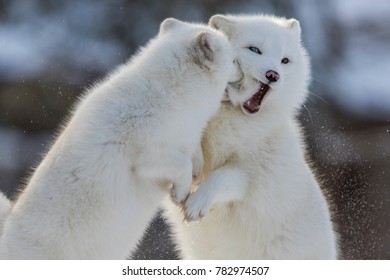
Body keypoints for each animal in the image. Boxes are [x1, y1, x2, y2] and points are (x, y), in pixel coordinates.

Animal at [0, 17, 236, 260]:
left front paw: (196, 169)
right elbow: (182, 165)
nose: (243, 75)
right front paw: (180, 194)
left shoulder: (186, 137)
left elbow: (193, 153)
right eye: (233, 60)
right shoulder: (148, 158)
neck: (170, 94)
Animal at [165, 14, 338, 260]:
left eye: (285, 60)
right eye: (255, 49)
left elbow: (220, 177)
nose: (273, 75)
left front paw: (197, 202)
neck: (233, 118)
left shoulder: (250, 176)